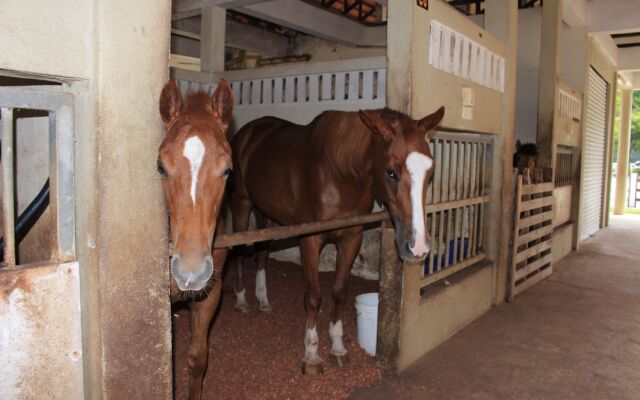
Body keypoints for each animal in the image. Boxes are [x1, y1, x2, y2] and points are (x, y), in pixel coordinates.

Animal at [230, 105, 444, 372]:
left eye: (430, 171)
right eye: (391, 172)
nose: (418, 247)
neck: (338, 172)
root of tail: (246, 133)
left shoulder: (351, 238)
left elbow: (340, 292)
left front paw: (337, 346)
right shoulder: (309, 240)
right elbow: (313, 296)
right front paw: (311, 355)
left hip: (265, 213)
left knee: (261, 253)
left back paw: (263, 299)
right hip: (242, 204)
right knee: (240, 252)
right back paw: (241, 299)